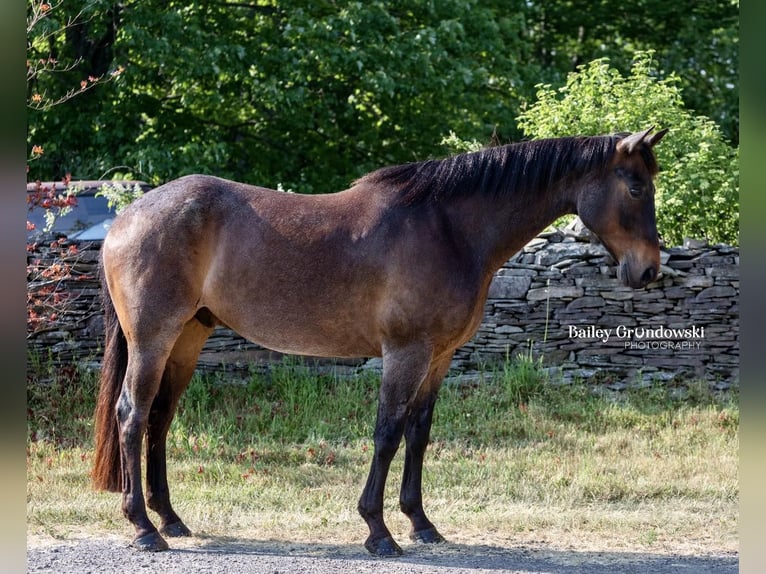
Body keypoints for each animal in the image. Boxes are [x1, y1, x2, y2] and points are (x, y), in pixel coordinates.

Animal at [91, 127, 664, 560]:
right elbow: (387, 433)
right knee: (133, 415)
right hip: (153, 339)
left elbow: (419, 433)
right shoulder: (405, 352)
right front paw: (378, 530)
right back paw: (143, 528)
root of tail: (126, 218)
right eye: (636, 188)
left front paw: (421, 522)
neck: (449, 229)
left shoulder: (439, 356)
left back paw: (170, 519)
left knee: (160, 419)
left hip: (188, 337)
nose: (649, 270)